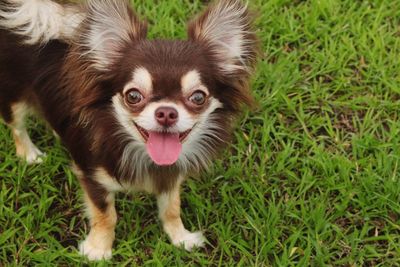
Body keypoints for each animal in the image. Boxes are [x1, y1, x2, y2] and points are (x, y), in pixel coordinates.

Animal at [0, 0, 256, 262]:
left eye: (198, 97)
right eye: (133, 96)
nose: (166, 112)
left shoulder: (170, 175)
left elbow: (171, 208)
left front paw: (180, 238)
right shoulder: (92, 178)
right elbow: (106, 215)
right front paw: (98, 249)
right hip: (13, 98)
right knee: (17, 127)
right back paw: (30, 154)